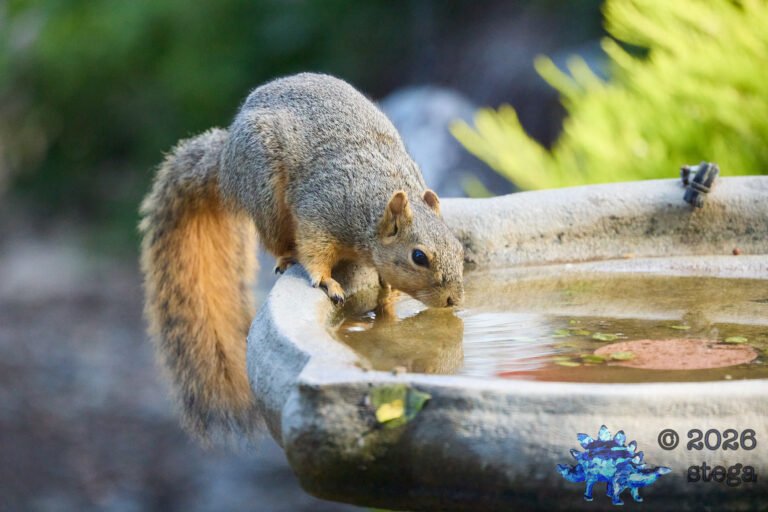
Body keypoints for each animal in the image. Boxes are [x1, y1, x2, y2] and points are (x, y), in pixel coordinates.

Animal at [139, 72, 465, 440]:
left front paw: (389, 295)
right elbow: (315, 250)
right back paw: (286, 258)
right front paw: (327, 282)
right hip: (265, 192)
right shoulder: (319, 211)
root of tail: (225, 163)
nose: (454, 299)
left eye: (459, 248)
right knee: (277, 239)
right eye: (419, 257)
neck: (370, 205)